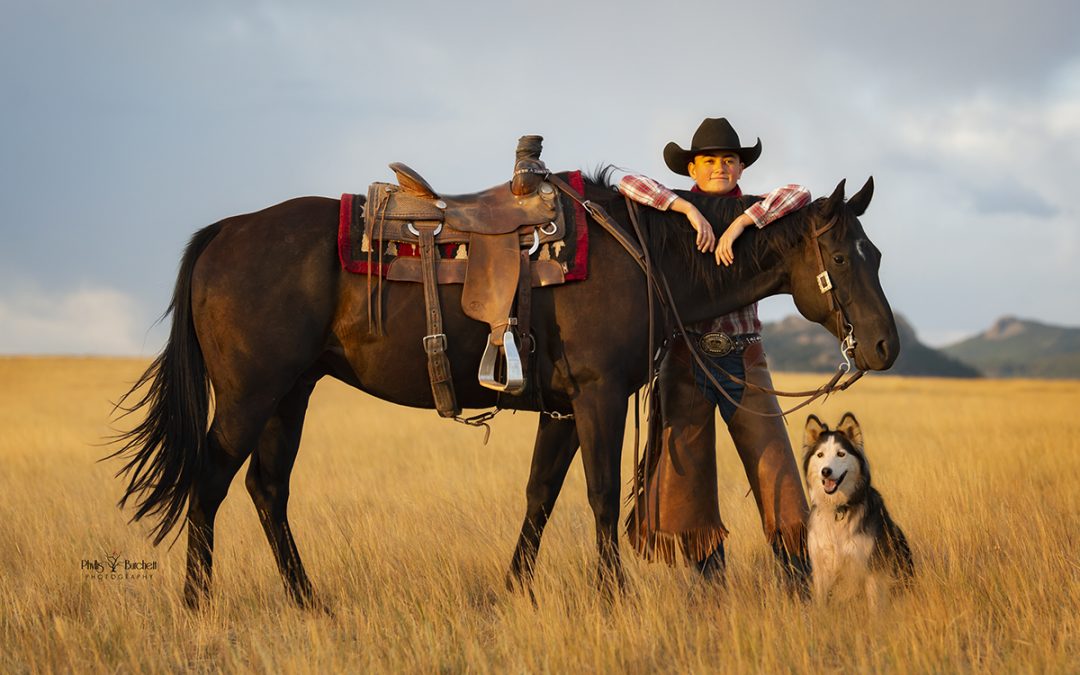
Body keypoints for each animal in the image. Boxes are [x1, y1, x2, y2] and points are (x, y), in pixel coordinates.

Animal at [113, 170, 898, 609]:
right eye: (838, 255)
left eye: (878, 253)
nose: (885, 344)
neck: (644, 255)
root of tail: (226, 232)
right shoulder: (598, 396)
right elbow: (599, 497)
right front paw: (613, 596)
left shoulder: (563, 407)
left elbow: (539, 496)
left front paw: (512, 591)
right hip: (250, 396)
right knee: (210, 483)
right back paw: (197, 603)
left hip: (289, 395)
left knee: (266, 489)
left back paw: (308, 602)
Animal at [803, 410, 911, 604]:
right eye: (820, 455)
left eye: (841, 454)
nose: (826, 471)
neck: (838, 509)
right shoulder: (821, 570)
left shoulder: (872, 569)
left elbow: (875, 606)